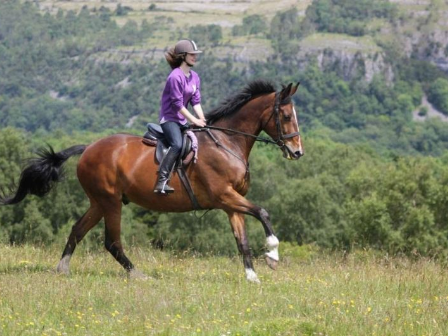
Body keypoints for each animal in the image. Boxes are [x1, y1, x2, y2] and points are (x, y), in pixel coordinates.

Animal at [0, 79, 302, 284]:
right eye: (286, 116)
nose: (297, 152)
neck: (227, 142)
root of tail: (88, 148)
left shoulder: (231, 203)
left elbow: (242, 240)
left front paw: (252, 276)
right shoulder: (224, 196)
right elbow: (263, 212)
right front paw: (273, 255)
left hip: (99, 202)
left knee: (78, 229)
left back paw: (63, 269)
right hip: (110, 201)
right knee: (112, 242)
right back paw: (138, 275)